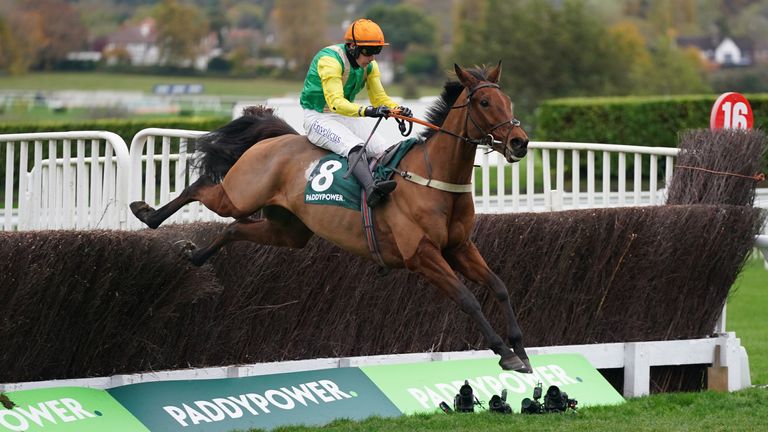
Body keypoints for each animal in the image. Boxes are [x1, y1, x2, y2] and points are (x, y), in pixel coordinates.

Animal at [130, 63, 536, 372]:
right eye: (484, 101)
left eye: (508, 100)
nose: (520, 143)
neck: (433, 179)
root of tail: (276, 138)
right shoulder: (422, 256)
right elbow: (468, 299)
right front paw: (504, 352)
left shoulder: (460, 247)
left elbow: (499, 286)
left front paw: (521, 350)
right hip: (240, 194)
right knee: (201, 188)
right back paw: (147, 213)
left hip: (288, 231)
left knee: (233, 230)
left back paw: (195, 254)